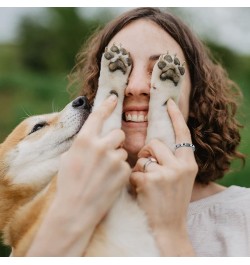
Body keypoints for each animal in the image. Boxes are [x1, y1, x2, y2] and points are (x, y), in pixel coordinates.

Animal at [0, 43, 184, 256]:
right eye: (37, 127)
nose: (82, 100)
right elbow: (107, 97)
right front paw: (113, 73)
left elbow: (161, 117)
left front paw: (167, 82)